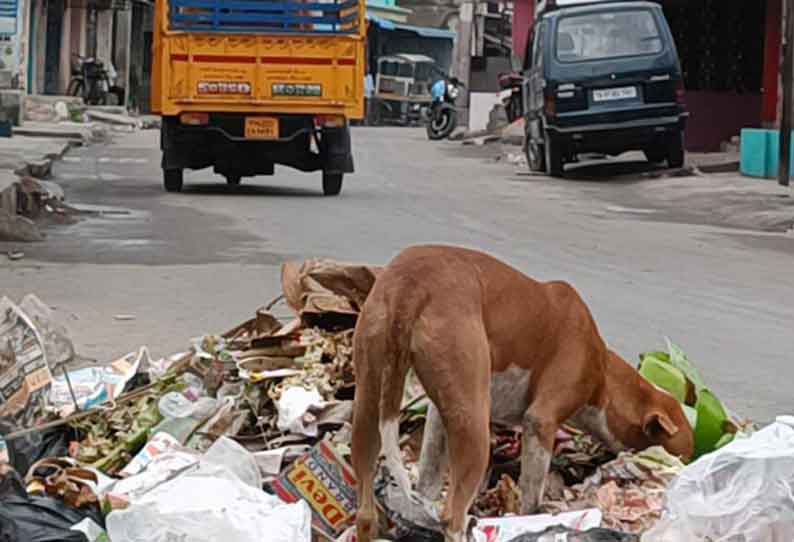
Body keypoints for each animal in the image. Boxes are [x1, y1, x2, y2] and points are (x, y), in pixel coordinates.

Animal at [350, 248, 688, 542]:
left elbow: (429, 477)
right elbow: (532, 495)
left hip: (370, 398)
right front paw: (535, 520)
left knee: (366, 510)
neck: (603, 371)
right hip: (475, 429)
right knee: (454, 516)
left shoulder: (437, 417)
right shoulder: (540, 421)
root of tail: (411, 286)